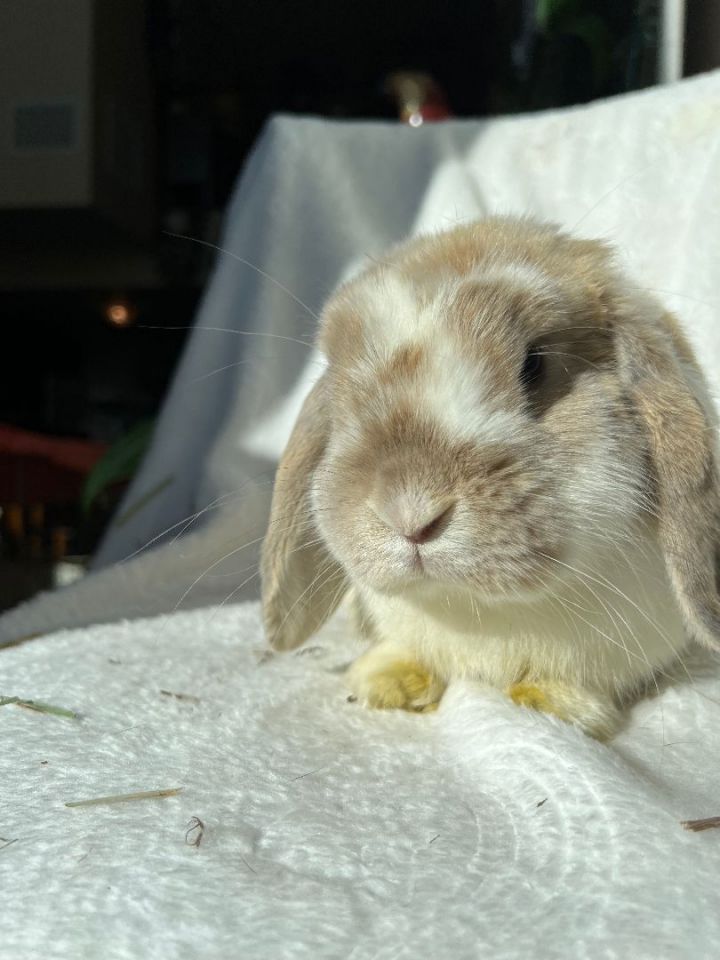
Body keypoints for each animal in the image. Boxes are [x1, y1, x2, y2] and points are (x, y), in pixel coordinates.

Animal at [260, 217, 720, 739]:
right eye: (341, 397)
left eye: (535, 364)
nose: (410, 514)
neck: (477, 611)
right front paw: (387, 684)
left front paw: (550, 706)